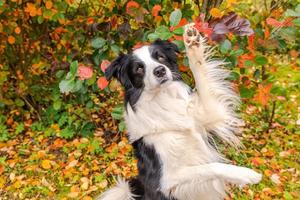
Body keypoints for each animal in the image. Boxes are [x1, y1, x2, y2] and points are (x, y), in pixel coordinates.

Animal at [99, 23, 262, 200]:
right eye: (139, 68)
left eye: (160, 57)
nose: (160, 70)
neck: (163, 98)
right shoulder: (165, 180)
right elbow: (209, 167)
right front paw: (245, 174)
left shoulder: (209, 111)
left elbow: (201, 77)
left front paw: (192, 43)